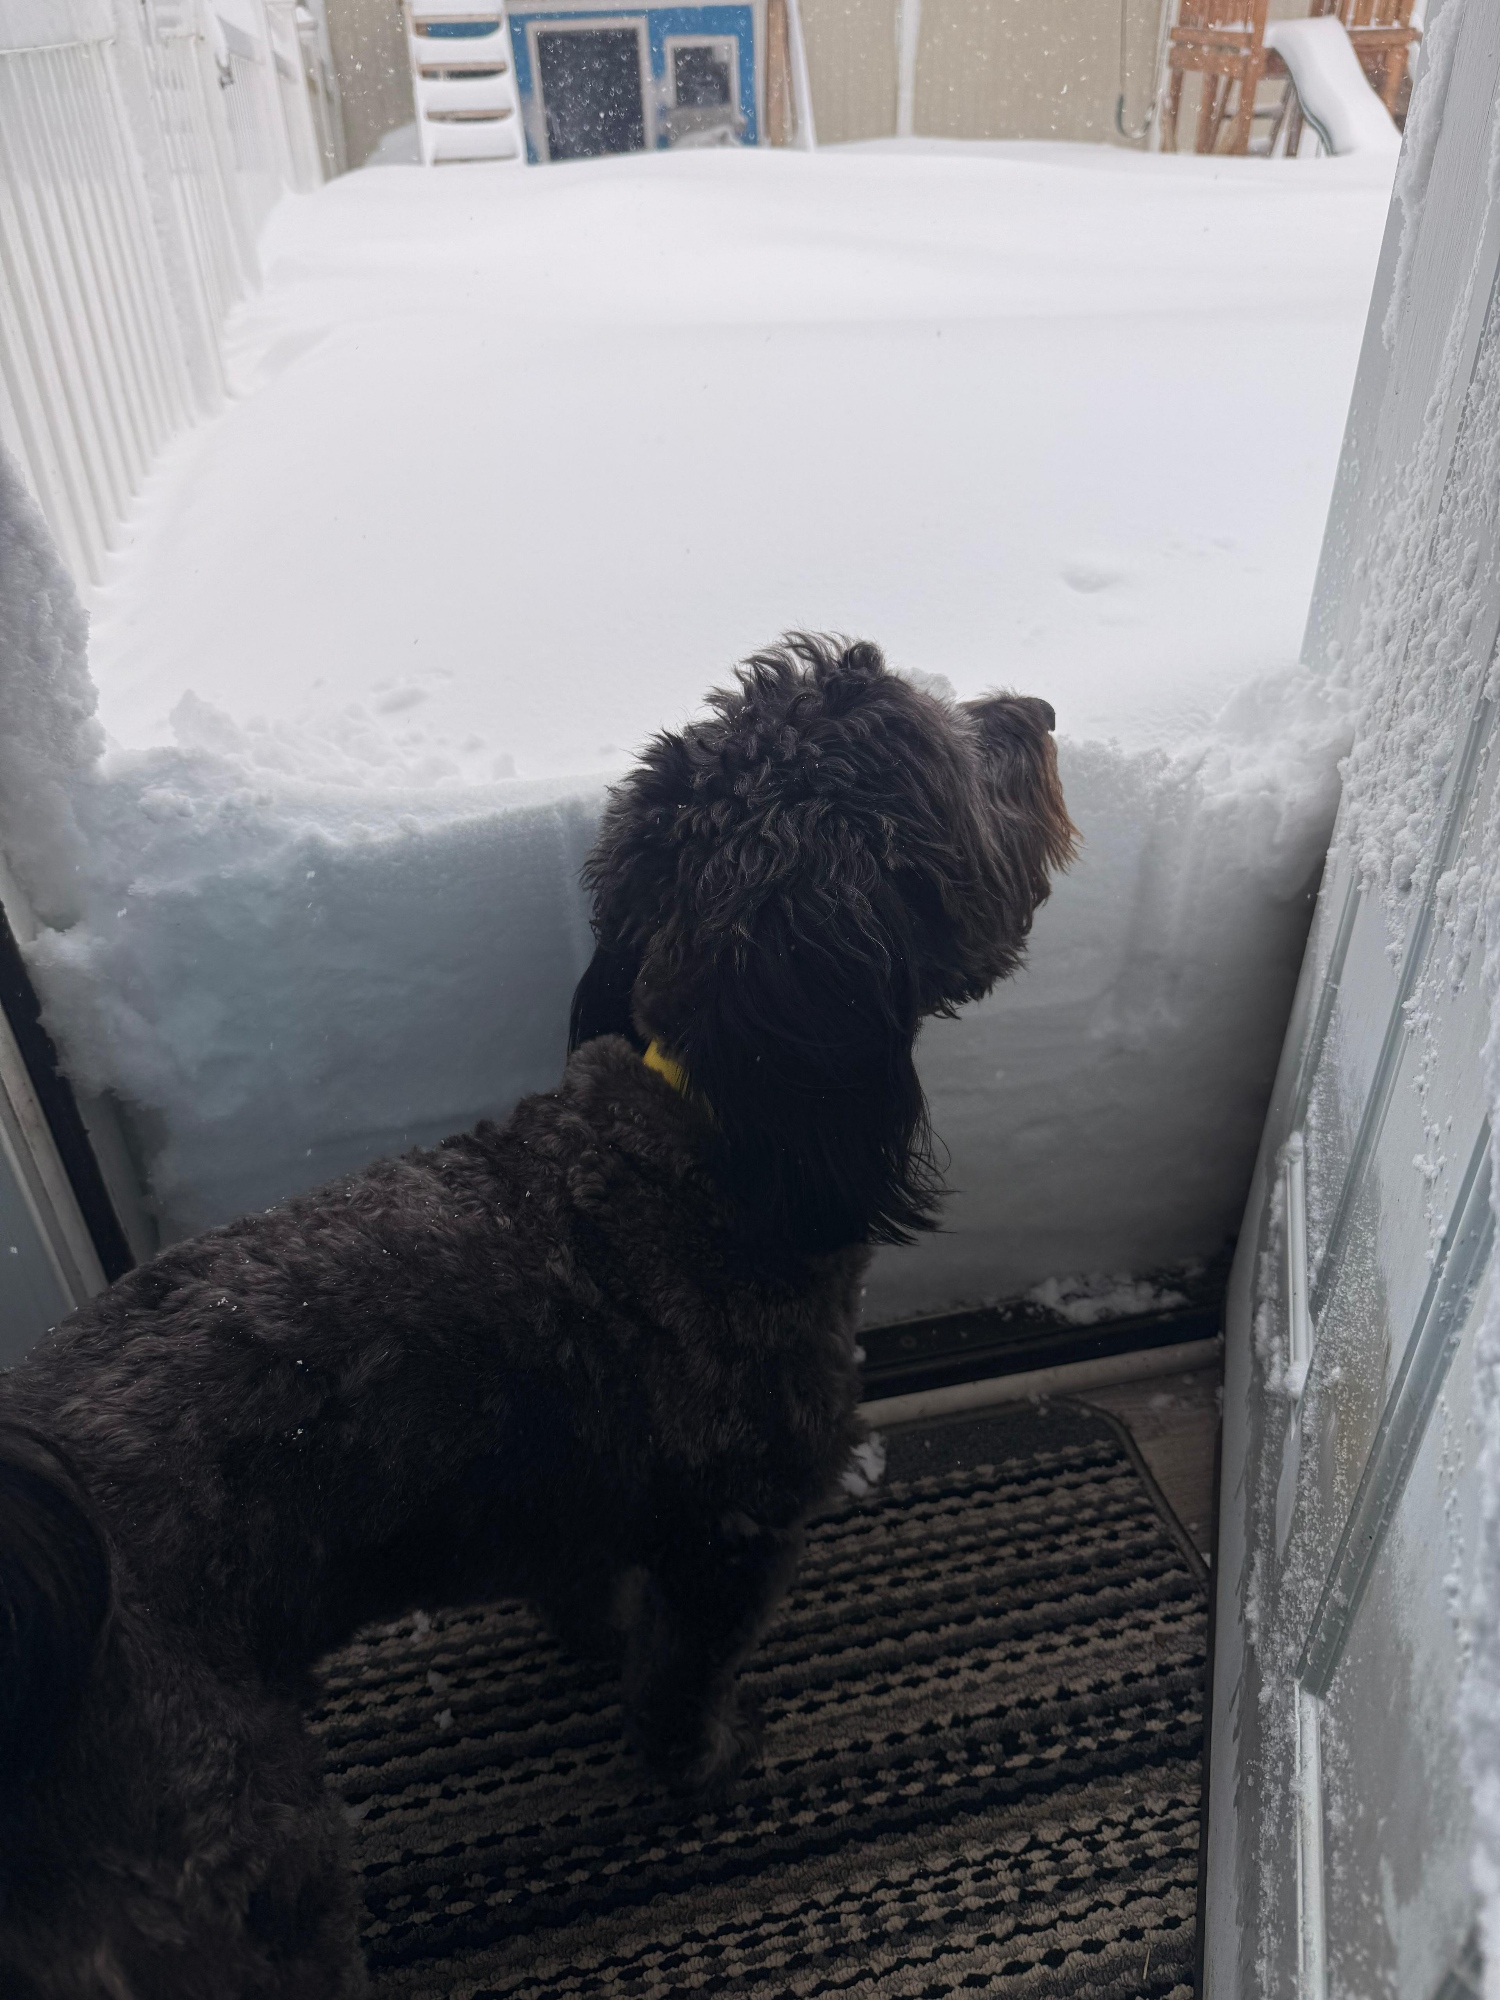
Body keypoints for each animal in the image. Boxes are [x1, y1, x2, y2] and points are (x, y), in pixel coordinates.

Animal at [0, 635, 1074, 1997]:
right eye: (948, 754)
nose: (1037, 711)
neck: (710, 1131)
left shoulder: (574, 1499)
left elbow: (588, 1591)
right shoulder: (734, 1529)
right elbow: (683, 1674)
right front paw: (704, 1755)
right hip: (244, 1858)